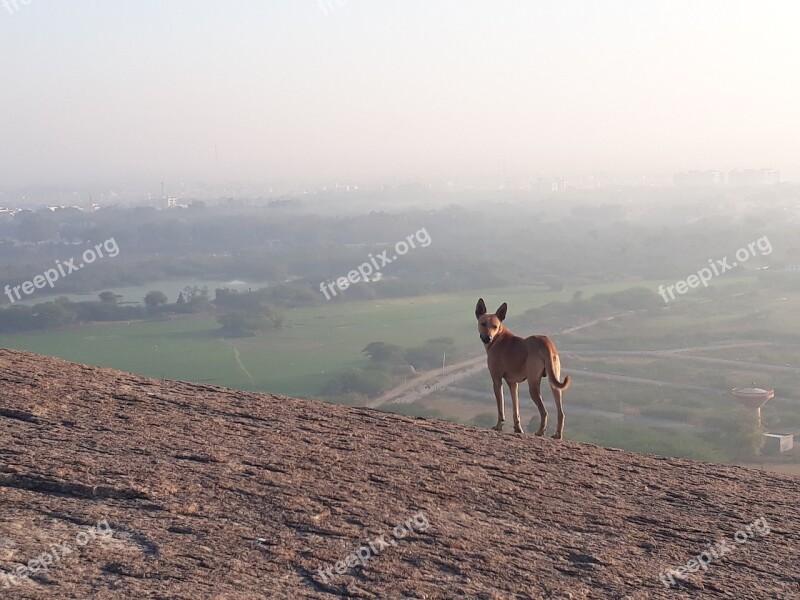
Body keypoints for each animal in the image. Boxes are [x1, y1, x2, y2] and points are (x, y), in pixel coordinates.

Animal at [476, 298, 568, 438]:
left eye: (494, 326)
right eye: (483, 323)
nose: (488, 338)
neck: (498, 337)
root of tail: (545, 342)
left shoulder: (497, 381)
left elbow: (501, 408)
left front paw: (498, 426)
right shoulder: (513, 384)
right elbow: (516, 410)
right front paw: (518, 428)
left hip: (533, 385)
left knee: (544, 411)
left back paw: (540, 431)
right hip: (555, 385)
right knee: (561, 412)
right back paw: (558, 435)